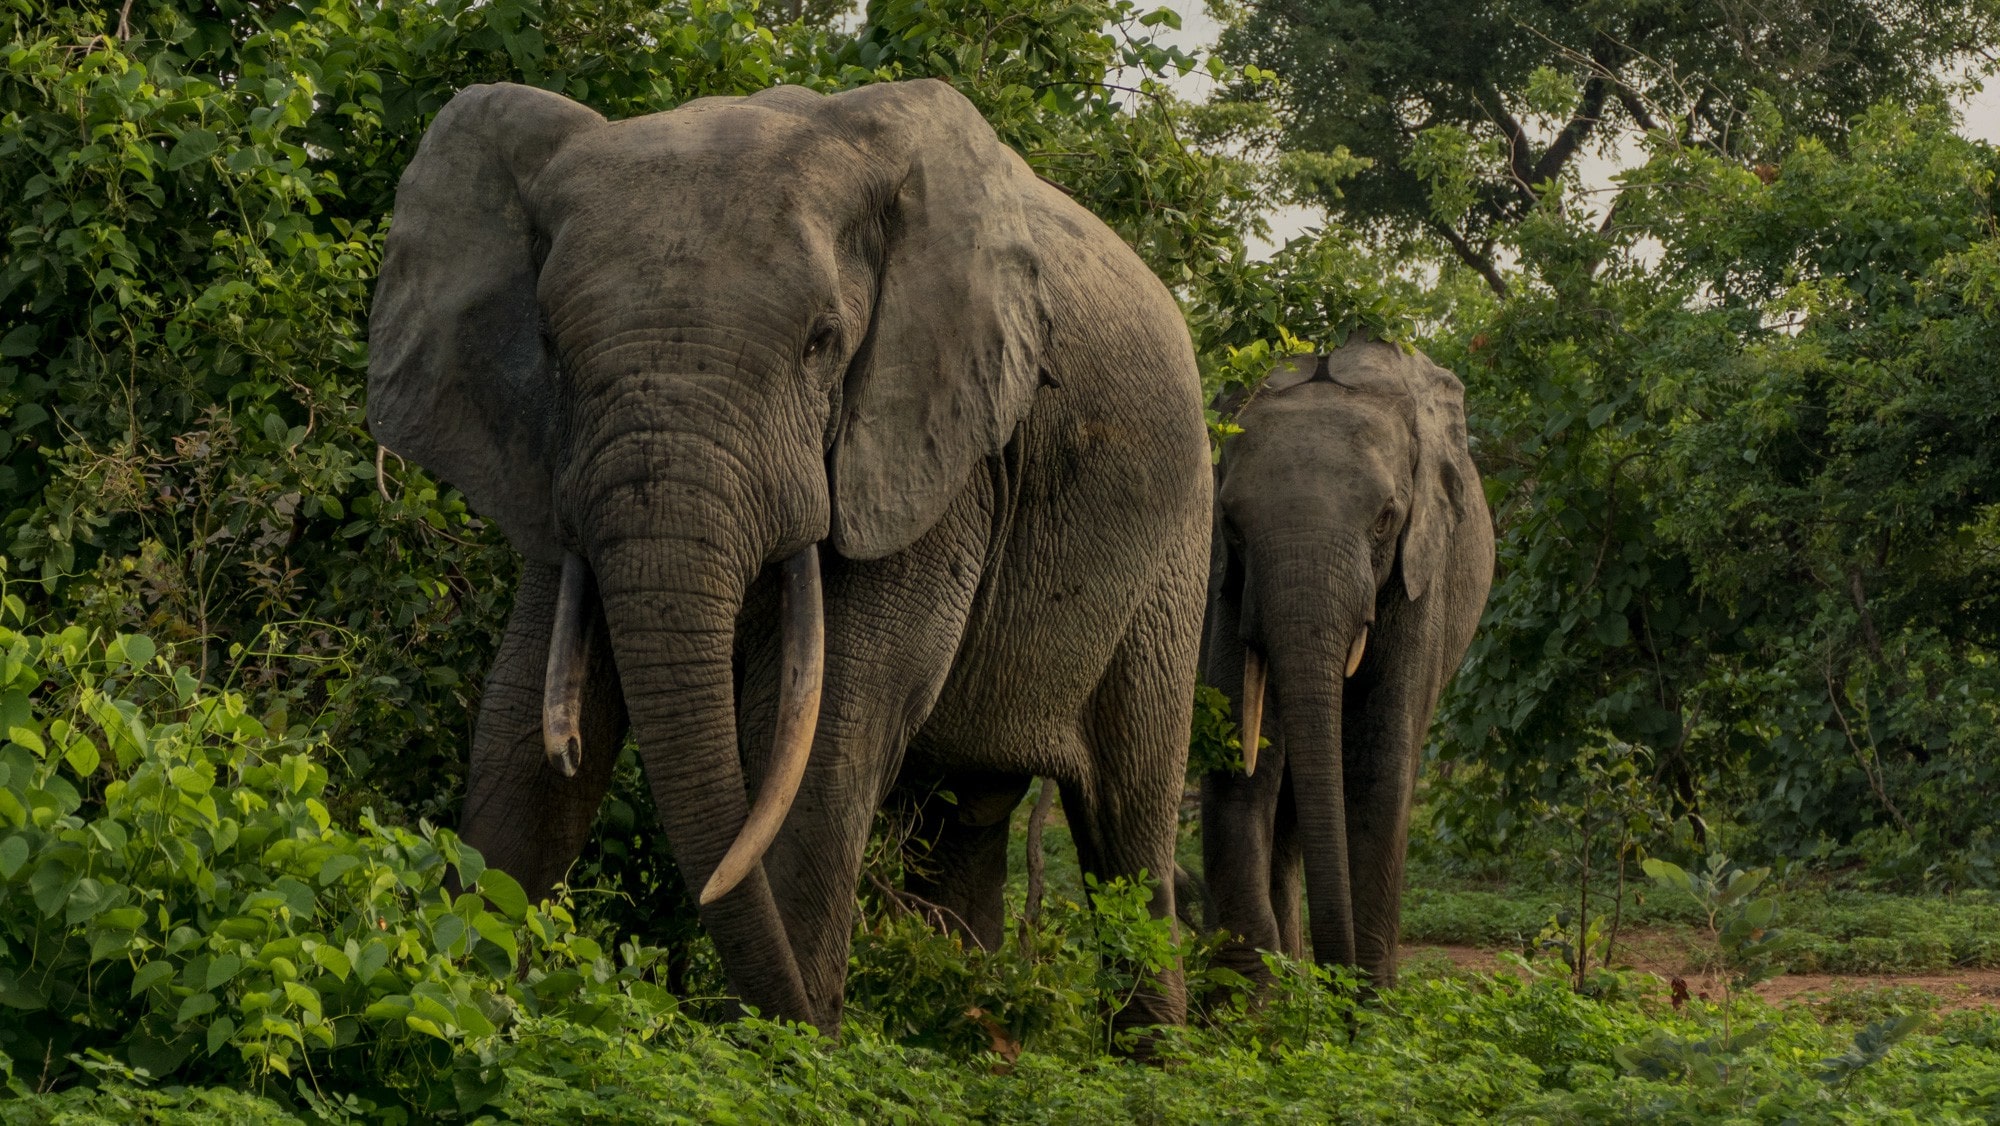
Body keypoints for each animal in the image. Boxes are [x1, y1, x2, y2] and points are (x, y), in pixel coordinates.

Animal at [368, 77, 1208, 1032]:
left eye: (822, 341)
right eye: (546, 343)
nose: (807, 1021)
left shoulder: (935, 450)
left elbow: (828, 721)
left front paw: (781, 1048)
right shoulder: (557, 468)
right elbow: (518, 719)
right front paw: (461, 990)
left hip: (1176, 548)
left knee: (1128, 821)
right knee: (963, 821)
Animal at [1192, 342, 1496, 988]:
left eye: (1385, 517)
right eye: (1230, 523)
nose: (1340, 973)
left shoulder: (1418, 574)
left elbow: (1378, 764)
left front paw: (1368, 1002)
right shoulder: (1227, 586)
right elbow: (1243, 758)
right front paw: (1247, 1001)